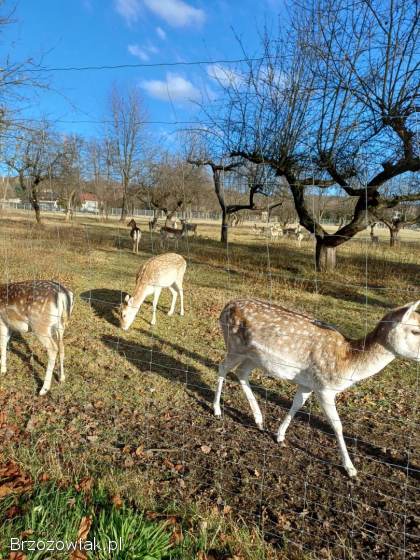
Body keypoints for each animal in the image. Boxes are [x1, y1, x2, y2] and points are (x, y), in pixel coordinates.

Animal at [213, 298, 420, 476]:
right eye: (415, 331)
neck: (346, 362)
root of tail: (227, 305)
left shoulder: (307, 384)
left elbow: (297, 405)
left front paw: (280, 435)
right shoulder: (324, 388)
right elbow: (337, 425)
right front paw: (350, 468)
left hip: (254, 357)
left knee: (241, 373)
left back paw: (259, 420)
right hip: (235, 346)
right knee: (223, 367)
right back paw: (217, 410)